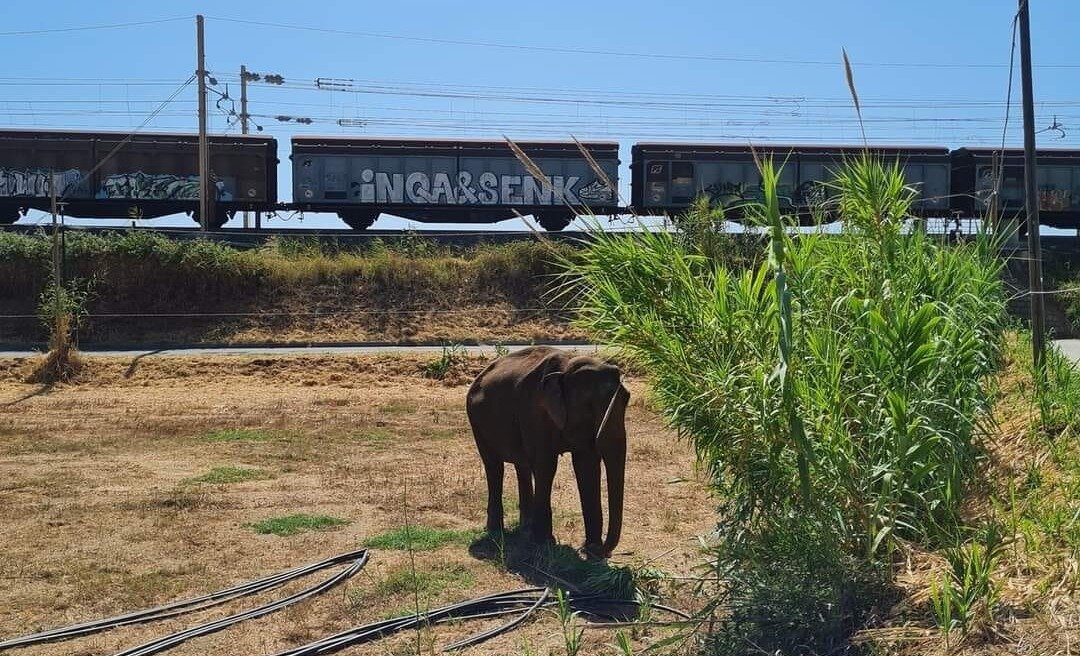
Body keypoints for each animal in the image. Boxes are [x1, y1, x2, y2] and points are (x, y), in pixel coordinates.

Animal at [466, 346, 629, 559]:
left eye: (627, 399)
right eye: (589, 406)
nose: (594, 550)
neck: (567, 366)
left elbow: (587, 467)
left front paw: (590, 552)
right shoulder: (534, 412)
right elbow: (546, 466)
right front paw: (544, 542)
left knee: (522, 466)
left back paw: (525, 528)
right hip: (476, 422)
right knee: (494, 466)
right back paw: (496, 531)